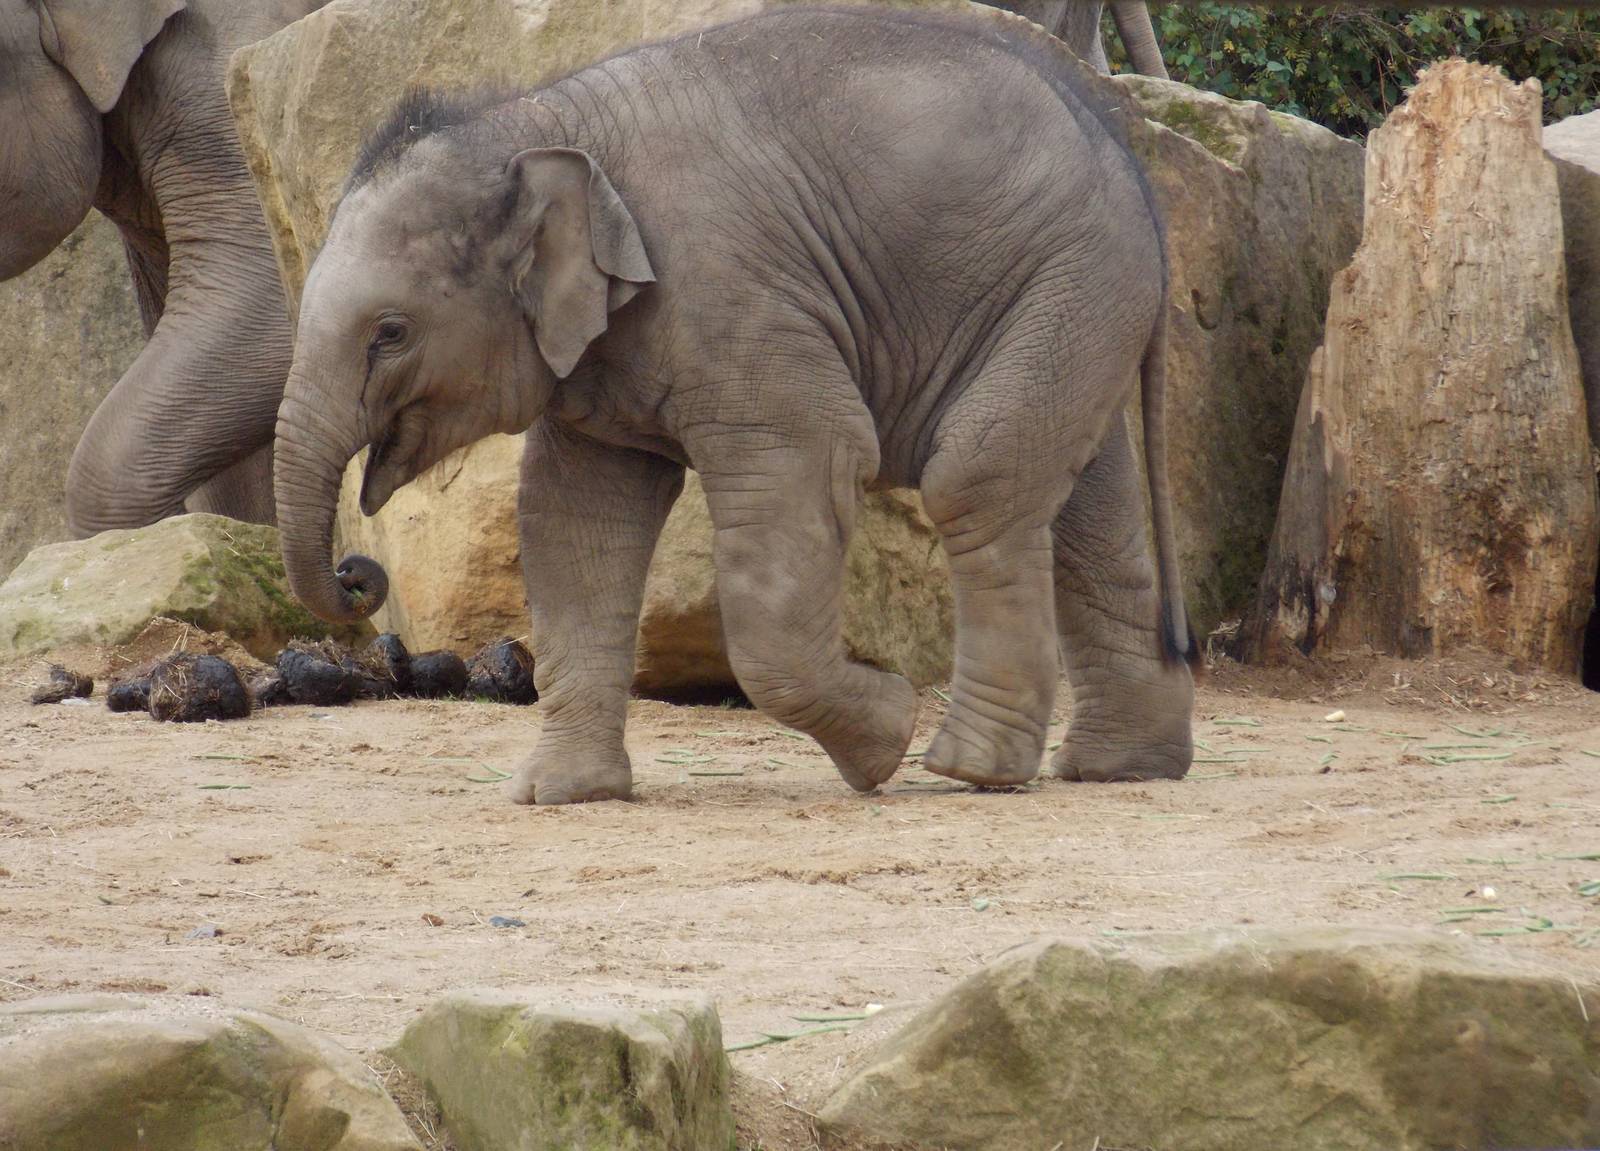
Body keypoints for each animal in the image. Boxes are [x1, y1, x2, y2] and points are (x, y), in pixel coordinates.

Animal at [276, 4, 1199, 805]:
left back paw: (971, 768)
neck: (538, 120)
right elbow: (572, 522)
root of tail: (1138, 175)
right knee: (1084, 505)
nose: (358, 573)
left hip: (1068, 279)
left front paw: (885, 737)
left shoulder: (735, 299)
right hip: (1073, 304)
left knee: (976, 477)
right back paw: (1121, 767)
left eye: (390, 332)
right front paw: (561, 795)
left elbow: (815, 459)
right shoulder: (602, 355)